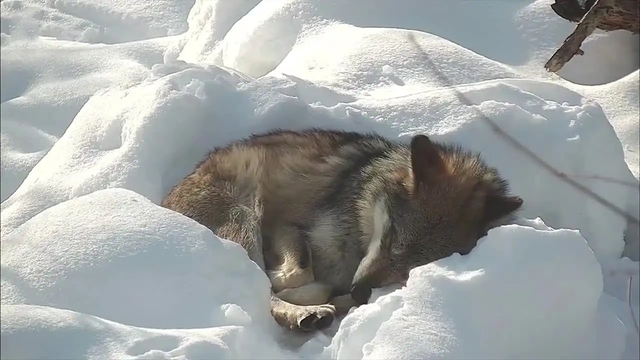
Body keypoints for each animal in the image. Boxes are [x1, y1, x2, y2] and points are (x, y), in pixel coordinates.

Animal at [160, 128, 520, 334]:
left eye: (414, 267)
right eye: (392, 237)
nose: (360, 291)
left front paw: (338, 297)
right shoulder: (286, 225)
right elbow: (298, 274)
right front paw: (297, 289)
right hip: (244, 215)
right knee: (255, 285)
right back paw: (305, 312)